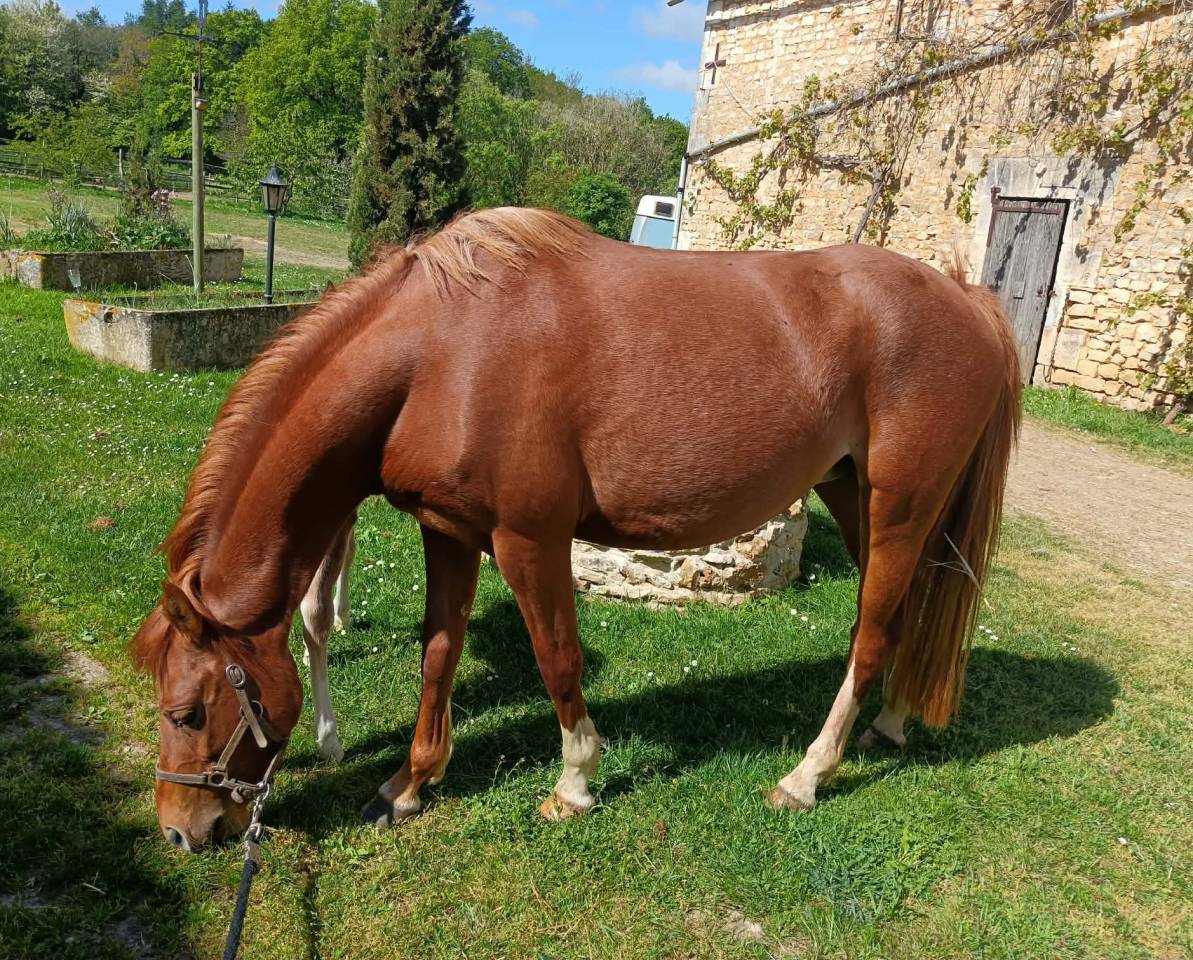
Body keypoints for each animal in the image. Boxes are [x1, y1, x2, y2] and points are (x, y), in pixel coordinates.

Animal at [131, 207, 1020, 851]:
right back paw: (890, 724)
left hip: (900, 504)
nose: (180, 831)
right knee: (904, 614)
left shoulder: (530, 541)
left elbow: (557, 661)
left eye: (187, 713)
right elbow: (437, 654)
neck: (440, 354)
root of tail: (966, 299)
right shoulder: (449, 532)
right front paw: (409, 785)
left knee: (869, 632)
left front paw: (574, 786)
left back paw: (806, 776)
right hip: (855, 496)